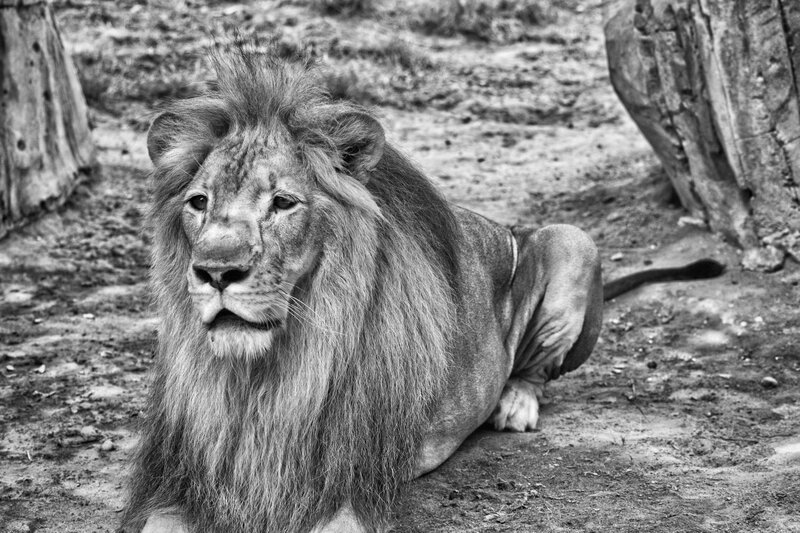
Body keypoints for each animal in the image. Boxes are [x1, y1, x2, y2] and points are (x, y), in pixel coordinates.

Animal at [122, 47, 724, 533]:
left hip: (571, 241)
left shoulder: (345, 485)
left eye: (284, 203)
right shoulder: (184, 475)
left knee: (537, 368)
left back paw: (514, 404)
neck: (262, 375)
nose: (215, 272)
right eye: (198, 202)